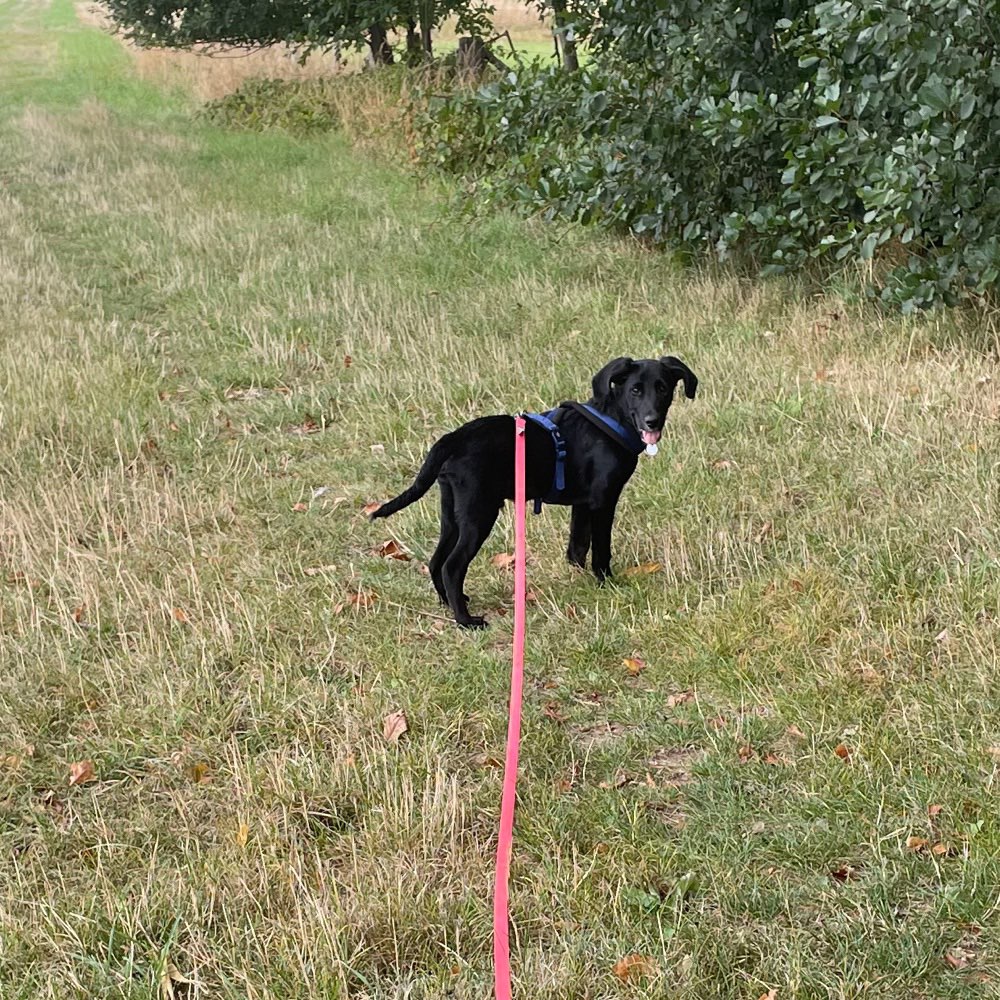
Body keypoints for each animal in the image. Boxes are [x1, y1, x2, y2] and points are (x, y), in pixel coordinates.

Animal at [372, 356, 700, 628]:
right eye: (635, 390)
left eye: (663, 389)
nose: (652, 421)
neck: (613, 419)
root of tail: (453, 438)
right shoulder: (603, 501)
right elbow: (601, 549)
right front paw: (606, 582)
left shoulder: (583, 505)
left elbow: (577, 546)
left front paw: (578, 578)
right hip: (479, 513)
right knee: (452, 566)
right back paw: (466, 621)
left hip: (452, 512)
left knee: (436, 560)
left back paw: (448, 604)